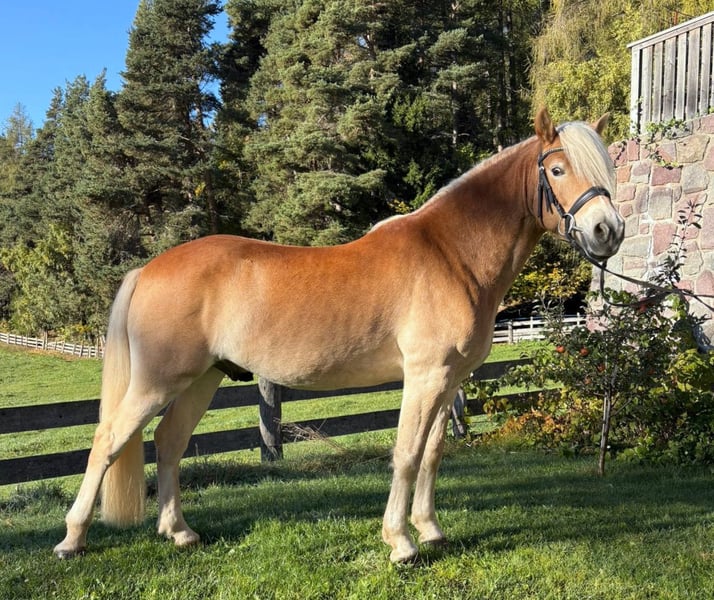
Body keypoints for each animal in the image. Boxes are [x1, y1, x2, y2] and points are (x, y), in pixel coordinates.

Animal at [54, 107, 624, 563]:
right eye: (557, 168)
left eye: (607, 168)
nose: (608, 231)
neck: (451, 253)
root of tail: (148, 269)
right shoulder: (424, 378)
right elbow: (407, 453)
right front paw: (400, 543)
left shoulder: (448, 382)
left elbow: (434, 453)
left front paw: (431, 531)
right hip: (157, 381)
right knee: (108, 441)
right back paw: (72, 539)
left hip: (201, 380)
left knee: (169, 443)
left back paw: (180, 533)